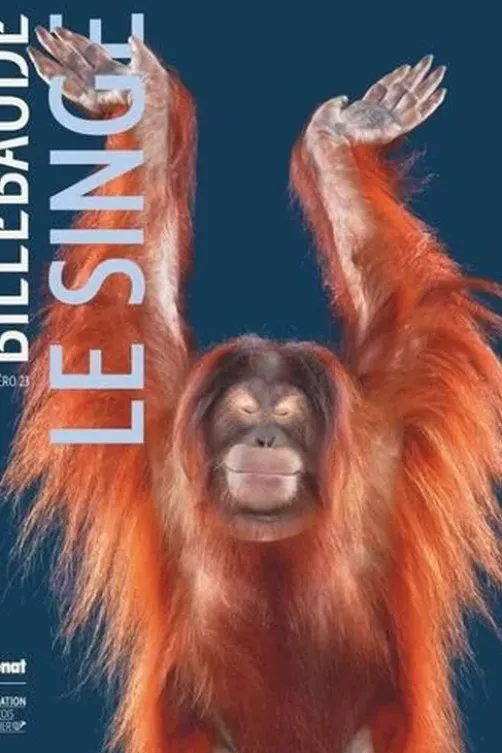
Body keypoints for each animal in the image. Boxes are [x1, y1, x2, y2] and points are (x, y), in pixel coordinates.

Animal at [4, 25, 502, 753]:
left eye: (287, 414)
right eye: (244, 412)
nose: (265, 437)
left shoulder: (380, 438)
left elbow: (402, 313)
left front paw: (338, 144)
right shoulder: (160, 428)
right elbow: (129, 289)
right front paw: (138, 97)